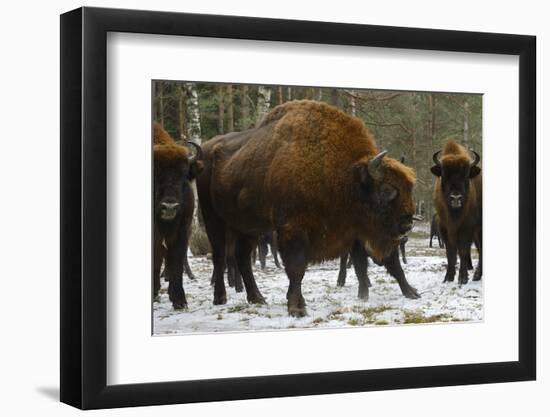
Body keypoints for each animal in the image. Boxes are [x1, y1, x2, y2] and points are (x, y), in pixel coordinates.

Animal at [154, 121, 204, 308]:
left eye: (183, 174)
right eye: (155, 174)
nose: (169, 207)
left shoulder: (183, 228)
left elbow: (176, 259)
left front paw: (179, 300)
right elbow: (157, 258)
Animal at [196, 101, 416, 316]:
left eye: (409, 188)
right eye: (388, 190)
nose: (406, 224)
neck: (346, 176)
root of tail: (205, 150)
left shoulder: (355, 232)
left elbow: (388, 261)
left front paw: (412, 292)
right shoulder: (293, 229)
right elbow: (297, 268)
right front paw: (297, 308)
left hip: (247, 226)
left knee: (242, 257)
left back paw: (257, 298)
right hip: (213, 218)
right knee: (220, 256)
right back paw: (220, 298)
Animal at [432, 141, 484, 284]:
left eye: (466, 176)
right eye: (444, 175)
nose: (456, 198)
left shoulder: (467, 227)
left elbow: (463, 250)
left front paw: (463, 278)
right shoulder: (444, 228)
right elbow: (450, 252)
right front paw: (448, 278)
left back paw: (477, 275)